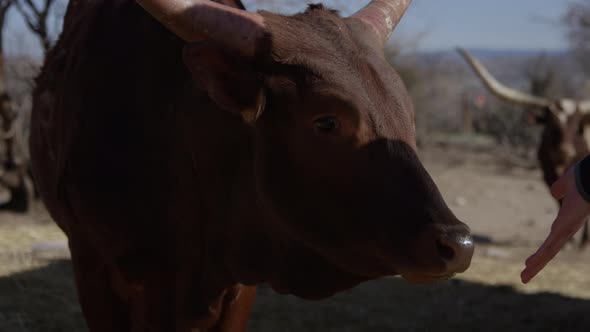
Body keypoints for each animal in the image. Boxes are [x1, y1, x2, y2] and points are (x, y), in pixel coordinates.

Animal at [462, 48, 590, 248]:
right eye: (551, 125)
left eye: (578, 127)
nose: (564, 151)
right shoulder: (550, 178)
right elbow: (561, 204)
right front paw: (568, 241)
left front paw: (583, 241)